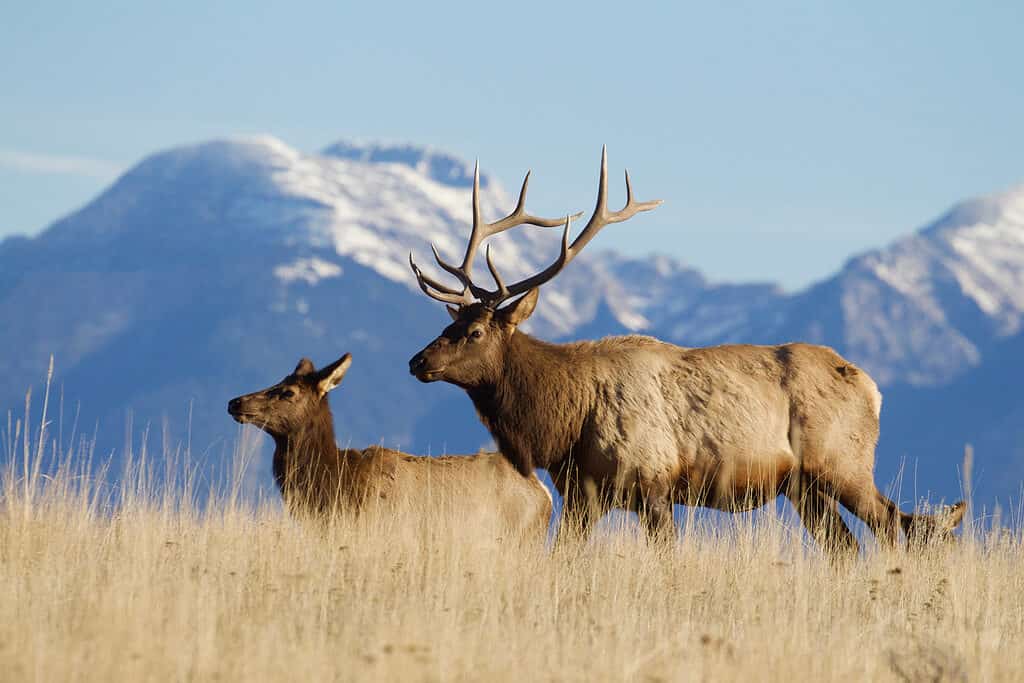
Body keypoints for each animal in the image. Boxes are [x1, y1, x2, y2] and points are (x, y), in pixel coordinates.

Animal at [405, 147, 958, 552]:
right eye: (450, 324)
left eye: (476, 332)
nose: (417, 361)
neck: (564, 424)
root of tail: (872, 387)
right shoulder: (582, 495)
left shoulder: (653, 484)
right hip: (804, 487)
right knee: (846, 547)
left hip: (843, 463)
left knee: (890, 524)